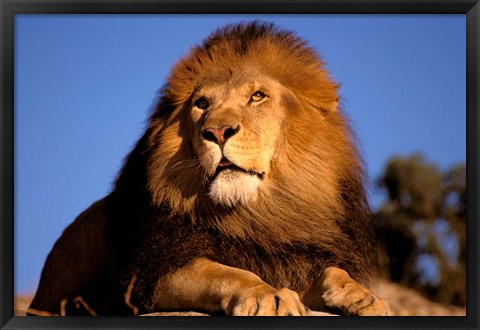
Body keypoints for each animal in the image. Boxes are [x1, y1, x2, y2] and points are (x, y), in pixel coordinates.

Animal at [29, 21, 390, 316]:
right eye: (202, 104)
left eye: (257, 96)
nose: (217, 132)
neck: (261, 214)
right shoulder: (152, 273)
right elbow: (227, 273)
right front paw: (268, 295)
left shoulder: (294, 258)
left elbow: (330, 271)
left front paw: (363, 296)